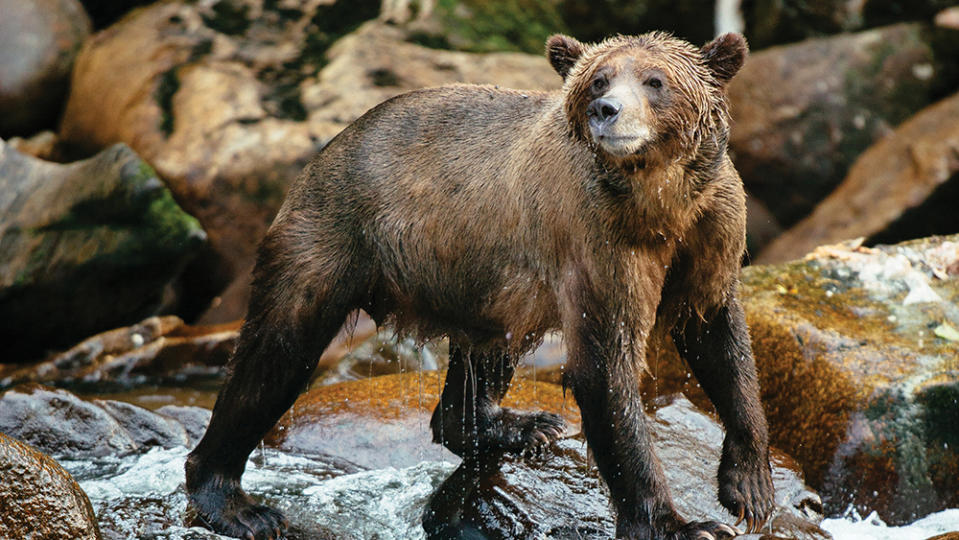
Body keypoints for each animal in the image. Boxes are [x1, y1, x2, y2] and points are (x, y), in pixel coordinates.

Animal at [184, 30, 776, 540]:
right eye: (597, 80)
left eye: (655, 81)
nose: (605, 111)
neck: (658, 203)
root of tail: (332, 144)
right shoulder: (599, 242)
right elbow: (607, 369)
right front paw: (686, 524)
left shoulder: (711, 229)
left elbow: (718, 338)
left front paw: (750, 488)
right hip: (334, 236)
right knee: (276, 353)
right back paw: (235, 503)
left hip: (487, 280)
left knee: (485, 354)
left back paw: (521, 425)